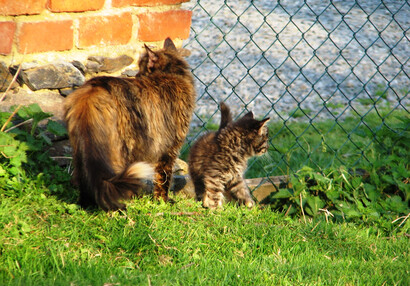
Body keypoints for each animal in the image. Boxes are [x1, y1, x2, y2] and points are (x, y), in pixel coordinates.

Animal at [65, 38, 196, 211]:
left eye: (141, 66)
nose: (138, 75)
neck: (172, 74)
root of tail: (93, 91)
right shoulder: (169, 150)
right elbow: (163, 180)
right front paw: (163, 202)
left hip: (81, 149)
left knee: (84, 180)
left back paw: (87, 205)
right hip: (119, 151)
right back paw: (119, 208)